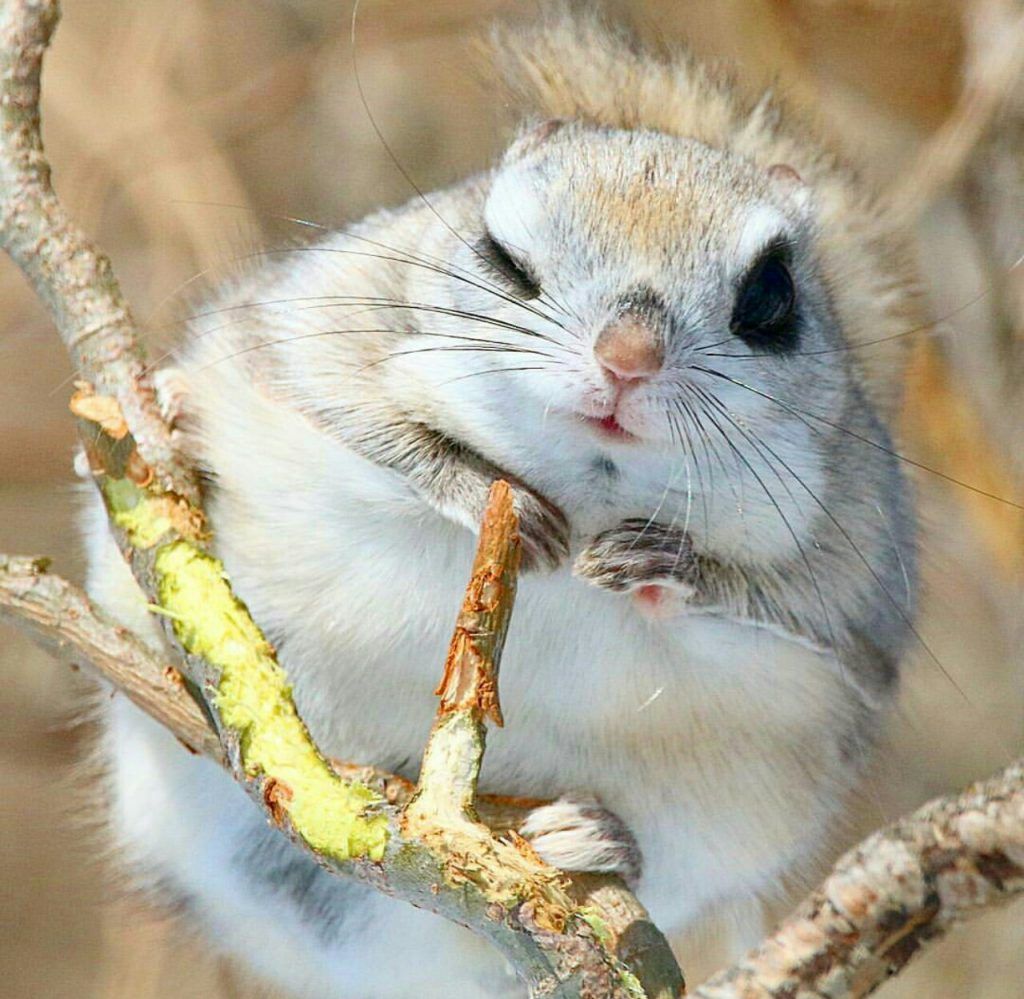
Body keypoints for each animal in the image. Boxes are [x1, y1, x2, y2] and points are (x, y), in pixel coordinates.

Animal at [84, 6, 919, 997]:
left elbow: (785, 600)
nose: (627, 357)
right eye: (501, 256)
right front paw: (484, 487)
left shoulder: (855, 573)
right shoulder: (313, 326)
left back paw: (591, 835)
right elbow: (357, 414)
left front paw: (663, 561)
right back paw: (173, 432)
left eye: (771, 296)